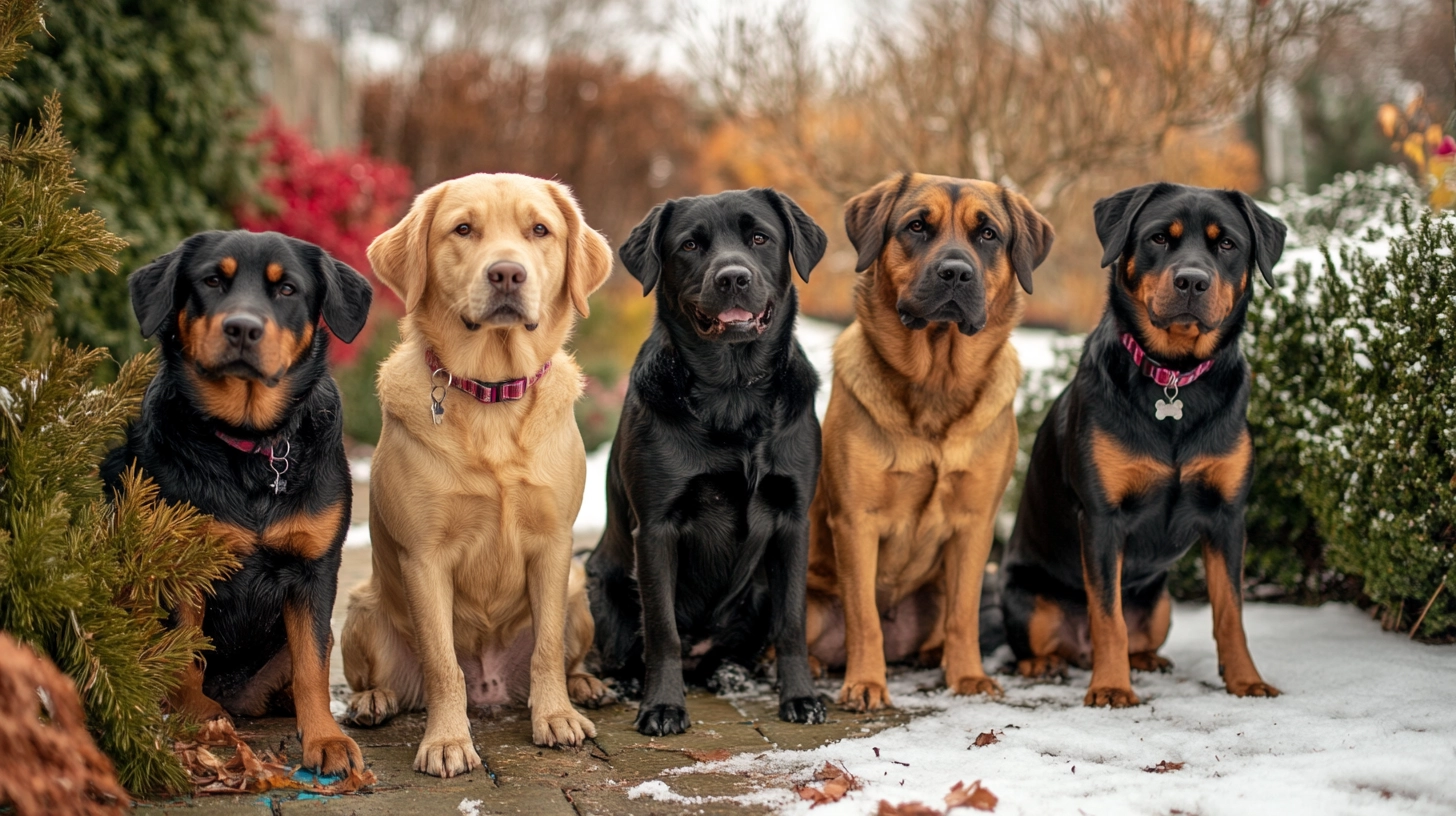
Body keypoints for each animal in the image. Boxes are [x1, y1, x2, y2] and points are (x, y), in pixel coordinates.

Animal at [337, 173, 611, 775]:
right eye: (463, 229)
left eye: (540, 230)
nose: (507, 273)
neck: (492, 392)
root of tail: (492, 687)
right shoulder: (424, 558)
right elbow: (443, 663)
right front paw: (446, 742)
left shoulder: (555, 546)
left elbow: (547, 649)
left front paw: (555, 717)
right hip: (362, 607)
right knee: (385, 678)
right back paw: (374, 701)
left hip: (580, 589)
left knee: (566, 655)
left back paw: (585, 686)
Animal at [582, 187, 832, 737]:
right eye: (690, 246)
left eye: (759, 237)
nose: (732, 277)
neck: (733, 394)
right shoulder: (655, 529)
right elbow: (662, 631)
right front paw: (662, 707)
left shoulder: (793, 520)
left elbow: (792, 623)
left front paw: (800, 698)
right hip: (602, 582)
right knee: (628, 650)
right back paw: (627, 684)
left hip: (756, 590)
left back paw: (730, 674)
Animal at [803, 171, 1054, 708]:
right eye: (917, 226)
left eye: (988, 234)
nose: (955, 273)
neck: (937, 380)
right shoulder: (855, 521)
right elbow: (864, 617)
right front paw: (866, 683)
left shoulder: (975, 525)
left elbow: (964, 615)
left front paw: (968, 676)